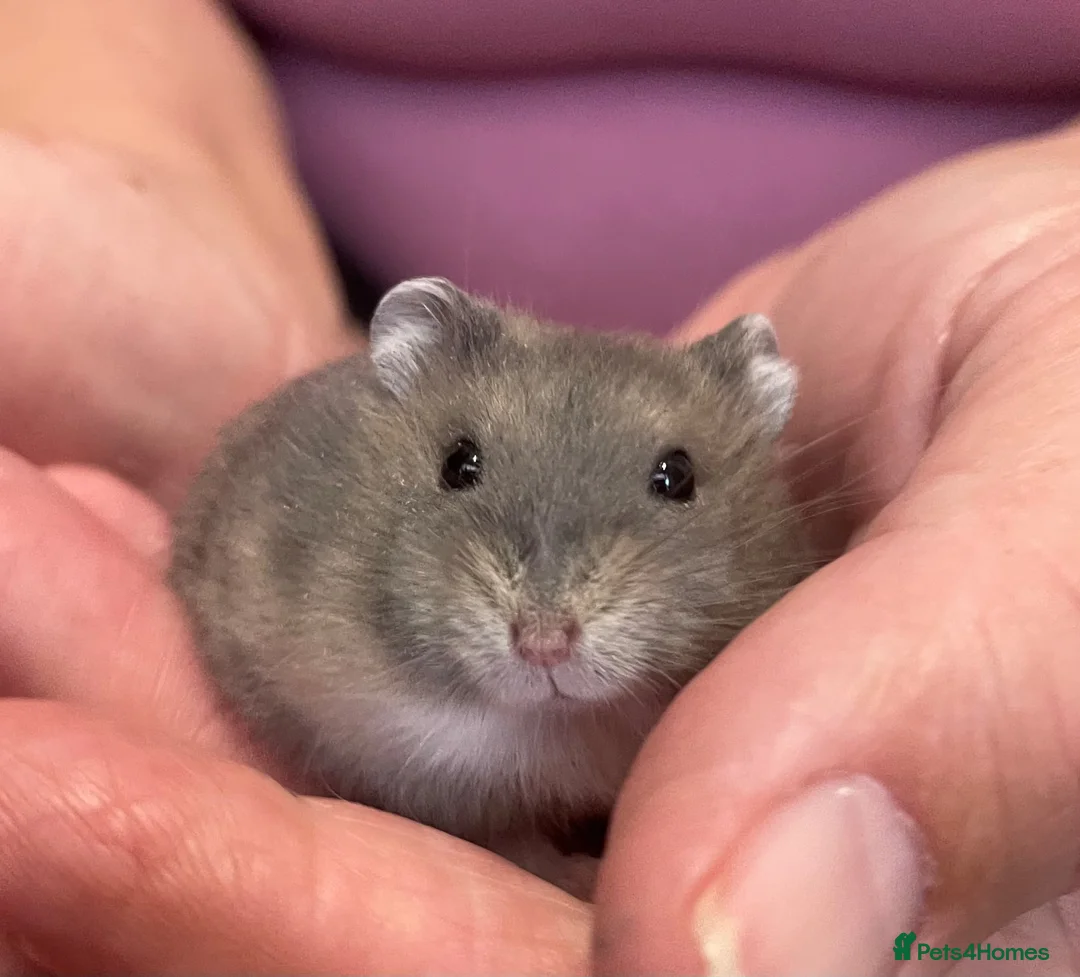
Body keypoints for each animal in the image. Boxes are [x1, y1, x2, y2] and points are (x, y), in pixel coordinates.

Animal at [167, 277, 811, 898]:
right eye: (459, 462)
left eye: (677, 476)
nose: (544, 645)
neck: (551, 726)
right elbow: (512, 841)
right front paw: (581, 878)